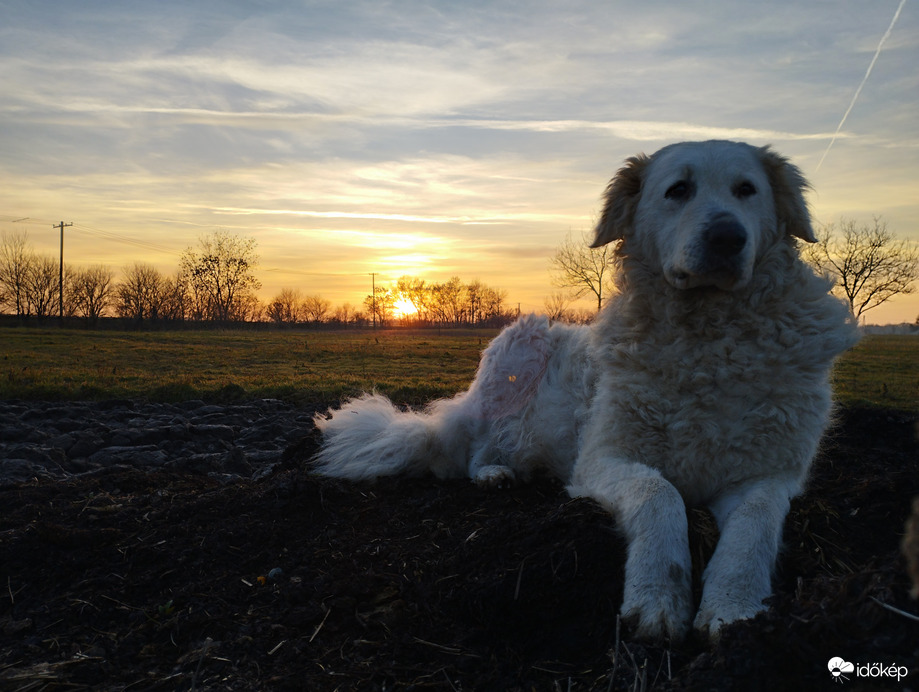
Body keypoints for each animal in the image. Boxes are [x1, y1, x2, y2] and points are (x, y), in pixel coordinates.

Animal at [312, 138, 860, 640]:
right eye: (678, 190)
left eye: (747, 190)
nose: (727, 237)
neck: (708, 340)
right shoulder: (604, 459)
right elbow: (659, 495)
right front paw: (656, 597)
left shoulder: (769, 475)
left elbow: (754, 525)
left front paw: (734, 607)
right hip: (521, 343)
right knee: (475, 451)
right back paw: (494, 473)